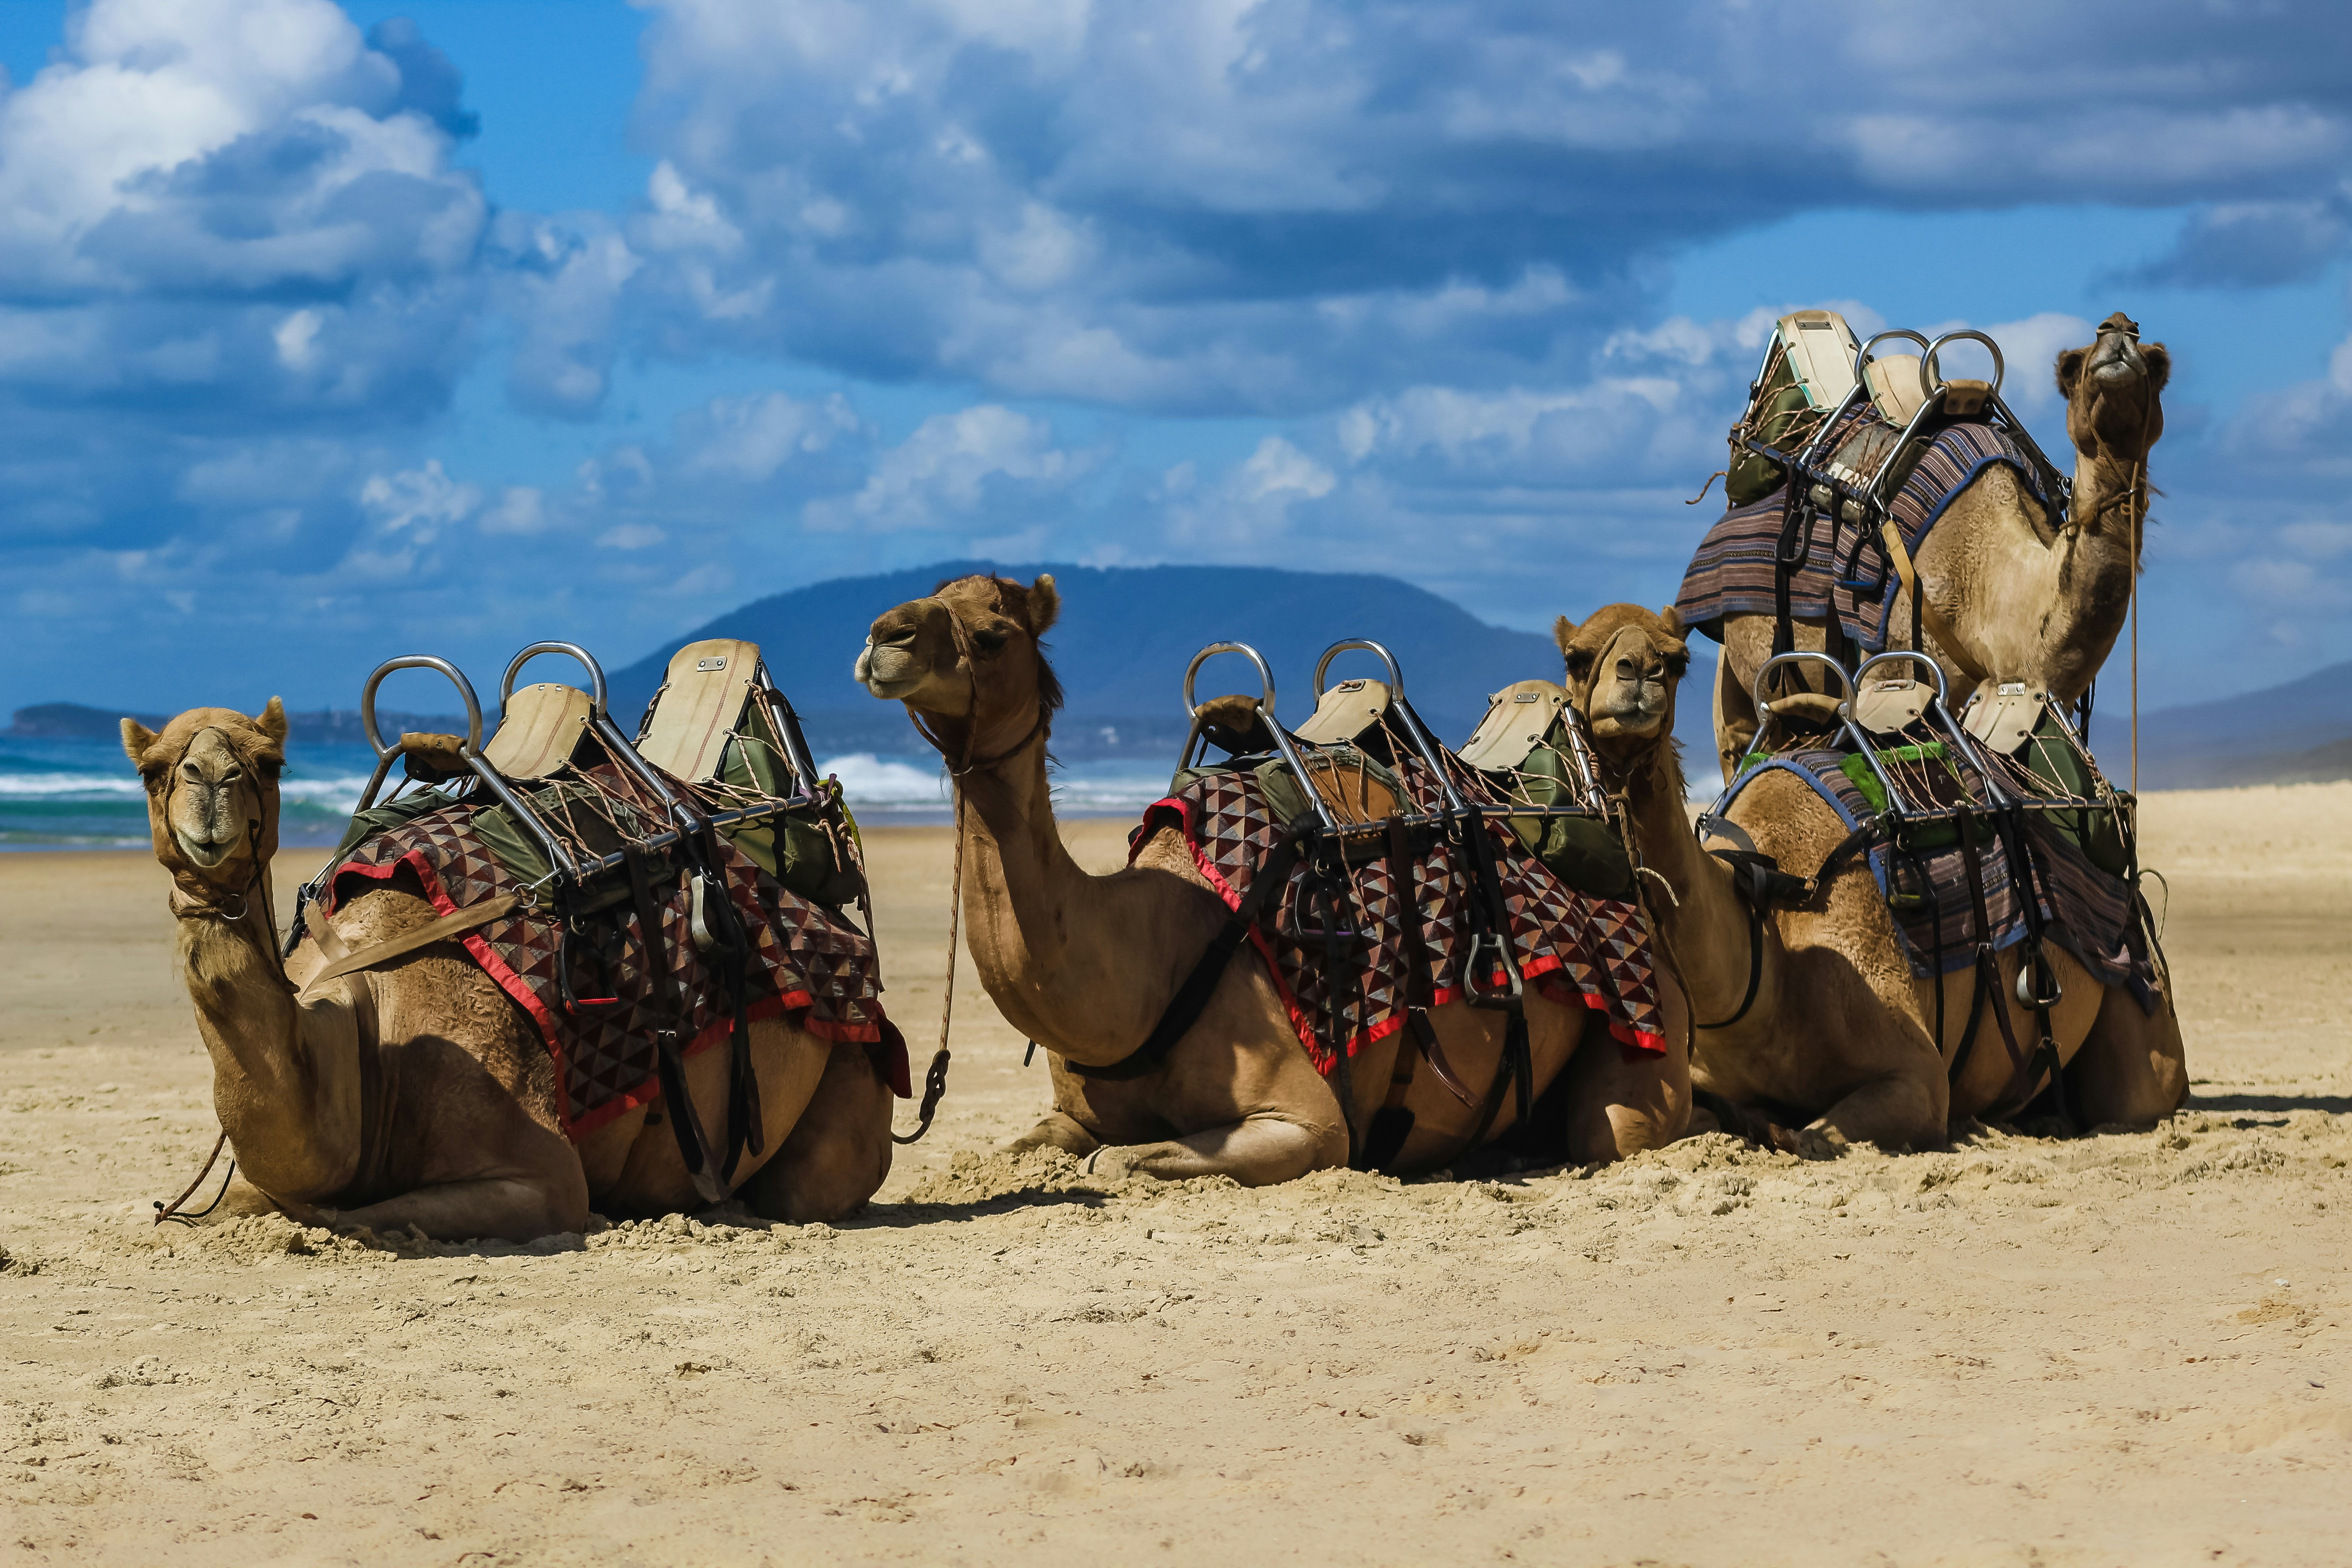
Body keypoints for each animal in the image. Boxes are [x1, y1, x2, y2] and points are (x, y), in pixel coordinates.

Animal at [125, 702, 892, 1241]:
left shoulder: (540, 1177)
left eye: (270, 762)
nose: (210, 783)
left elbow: (347, 1214)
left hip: (848, 1066)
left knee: (805, 1188)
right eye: (153, 769)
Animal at [852, 572, 1690, 1184]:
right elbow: (1033, 1148)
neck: (1155, 958)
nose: (882, 636)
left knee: (1614, 1130)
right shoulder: (1073, 1114)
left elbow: (1117, 1162)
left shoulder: (1306, 1122)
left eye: (992, 633)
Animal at [1555, 603, 2186, 1152]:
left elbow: (1813, 1138)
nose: (1639, 673)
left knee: (2137, 1093)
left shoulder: (1918, 1076)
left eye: (1677, 658)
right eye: (1576, 657)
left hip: (2135, 996)